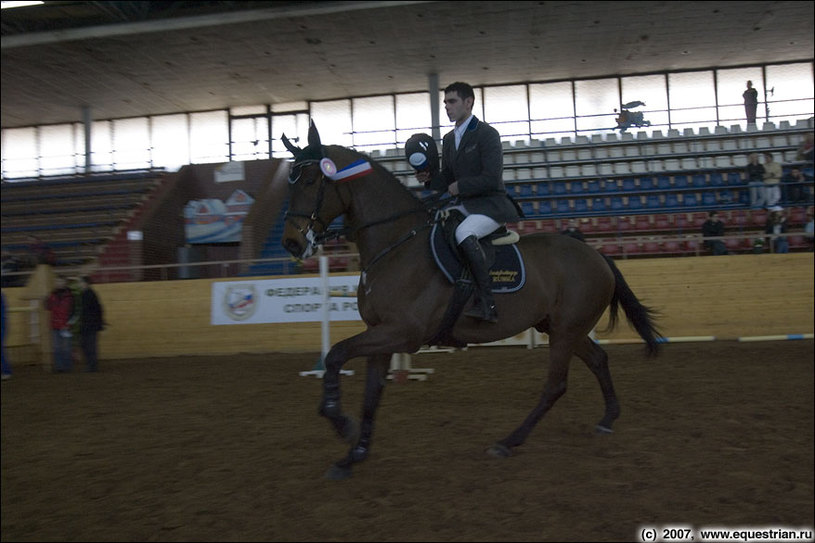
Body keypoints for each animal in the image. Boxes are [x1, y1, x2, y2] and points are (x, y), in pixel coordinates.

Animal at [282, 123, 664, 480]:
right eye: (290, 182)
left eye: (312, 179)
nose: (290, 243)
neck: (396, 243)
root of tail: (597, 255)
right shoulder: (381, 333)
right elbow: (370, 396)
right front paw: (353, 455)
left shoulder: (402, 332)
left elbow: (336, 356)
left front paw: (338, 420)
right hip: (562, 328)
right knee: (598, 360)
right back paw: (608, 418)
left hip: (566, 331)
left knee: (555, 385)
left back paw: (508, 442)